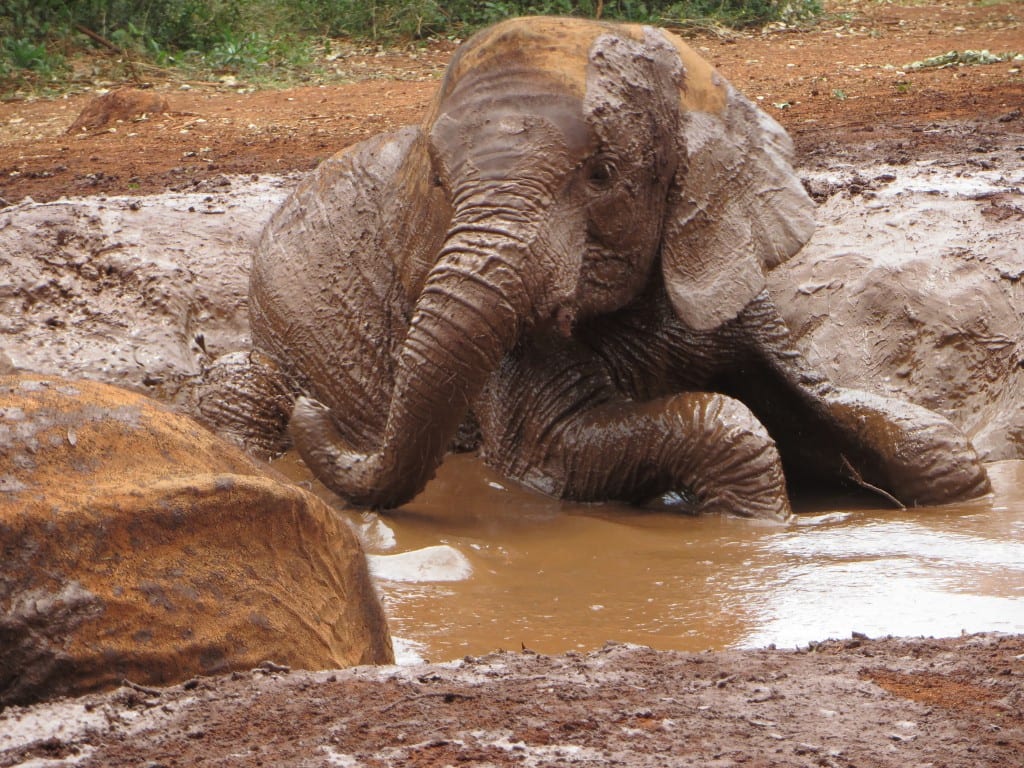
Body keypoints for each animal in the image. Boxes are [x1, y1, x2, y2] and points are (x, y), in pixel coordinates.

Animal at [198, 16, 990, 519]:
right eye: (441, 185)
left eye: (603, 175)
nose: (321, 416)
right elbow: (557, 446)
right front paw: (755, 522)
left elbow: (922, 440)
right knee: (239, 386)